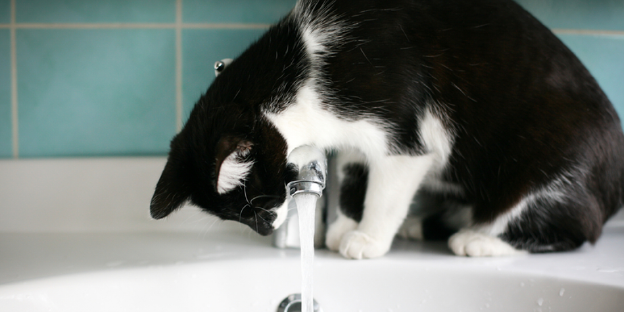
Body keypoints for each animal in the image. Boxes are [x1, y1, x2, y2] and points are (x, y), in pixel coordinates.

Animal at [150, 0, 624, 258]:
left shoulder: (402, 131)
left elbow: (387, 189)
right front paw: (344, 227)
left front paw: (367, 238)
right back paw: (429, 225)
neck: (302, 71)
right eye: (240, 215)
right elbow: (353, 172)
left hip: (548, 159)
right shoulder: (353, 133)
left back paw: (479, 240)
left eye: (256, 207)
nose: (267, 230)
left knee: (572, 228)